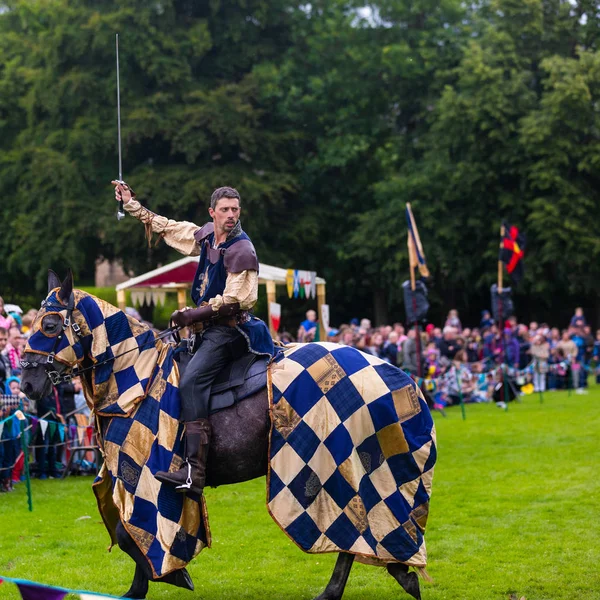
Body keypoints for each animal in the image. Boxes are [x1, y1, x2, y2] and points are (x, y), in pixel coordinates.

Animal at [22, 272, 432, 600]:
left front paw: (170, 578)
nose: (26, 382)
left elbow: (131, 533)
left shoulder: (142, 478)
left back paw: (346, 587)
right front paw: (143, 587)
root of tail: (402, 378)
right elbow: (128, 533)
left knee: (354, 531)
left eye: (51, 325)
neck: (136, 379)